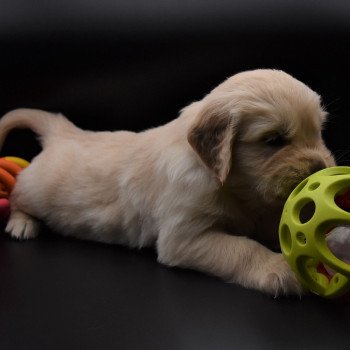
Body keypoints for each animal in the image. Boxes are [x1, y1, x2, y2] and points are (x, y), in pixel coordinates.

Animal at [0, 69, 334, 296]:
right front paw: (278, 268)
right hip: (37, 188)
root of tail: (63, 132)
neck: (233, 186)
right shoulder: (185, 236)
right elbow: (242, 248)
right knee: (17, 195)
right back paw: (21, 224)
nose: (320, 168)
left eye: (318, 132)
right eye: (274, 140)